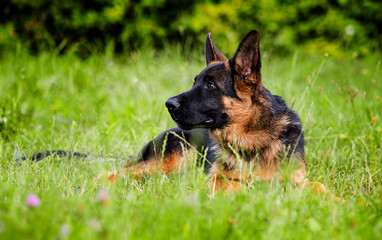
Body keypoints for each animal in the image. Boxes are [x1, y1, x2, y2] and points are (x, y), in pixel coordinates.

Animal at [27, 30, 332, 194]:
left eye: (210, 85)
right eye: (195, 81)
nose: (168, 104)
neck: (253, 136)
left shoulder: (298, 177)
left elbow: (318, 187)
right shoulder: (216, 181)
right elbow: (235, 183)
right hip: (163, 163)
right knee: (112, 173)